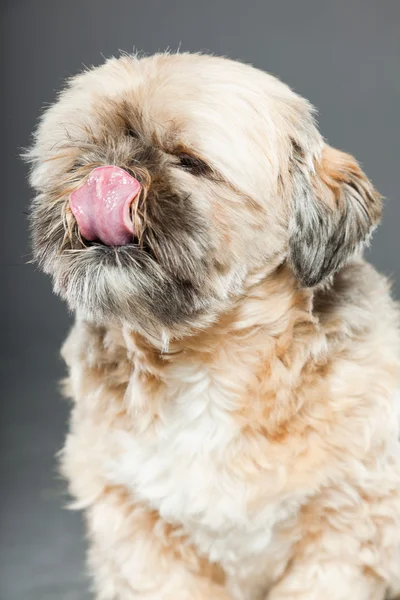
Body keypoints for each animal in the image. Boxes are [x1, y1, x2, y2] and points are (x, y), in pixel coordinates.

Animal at [25, 52, 400, 600]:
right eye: (81, 155)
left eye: (189, 161)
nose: (108, 173)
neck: (208, 361)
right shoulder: (136, 527)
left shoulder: (344, 526)